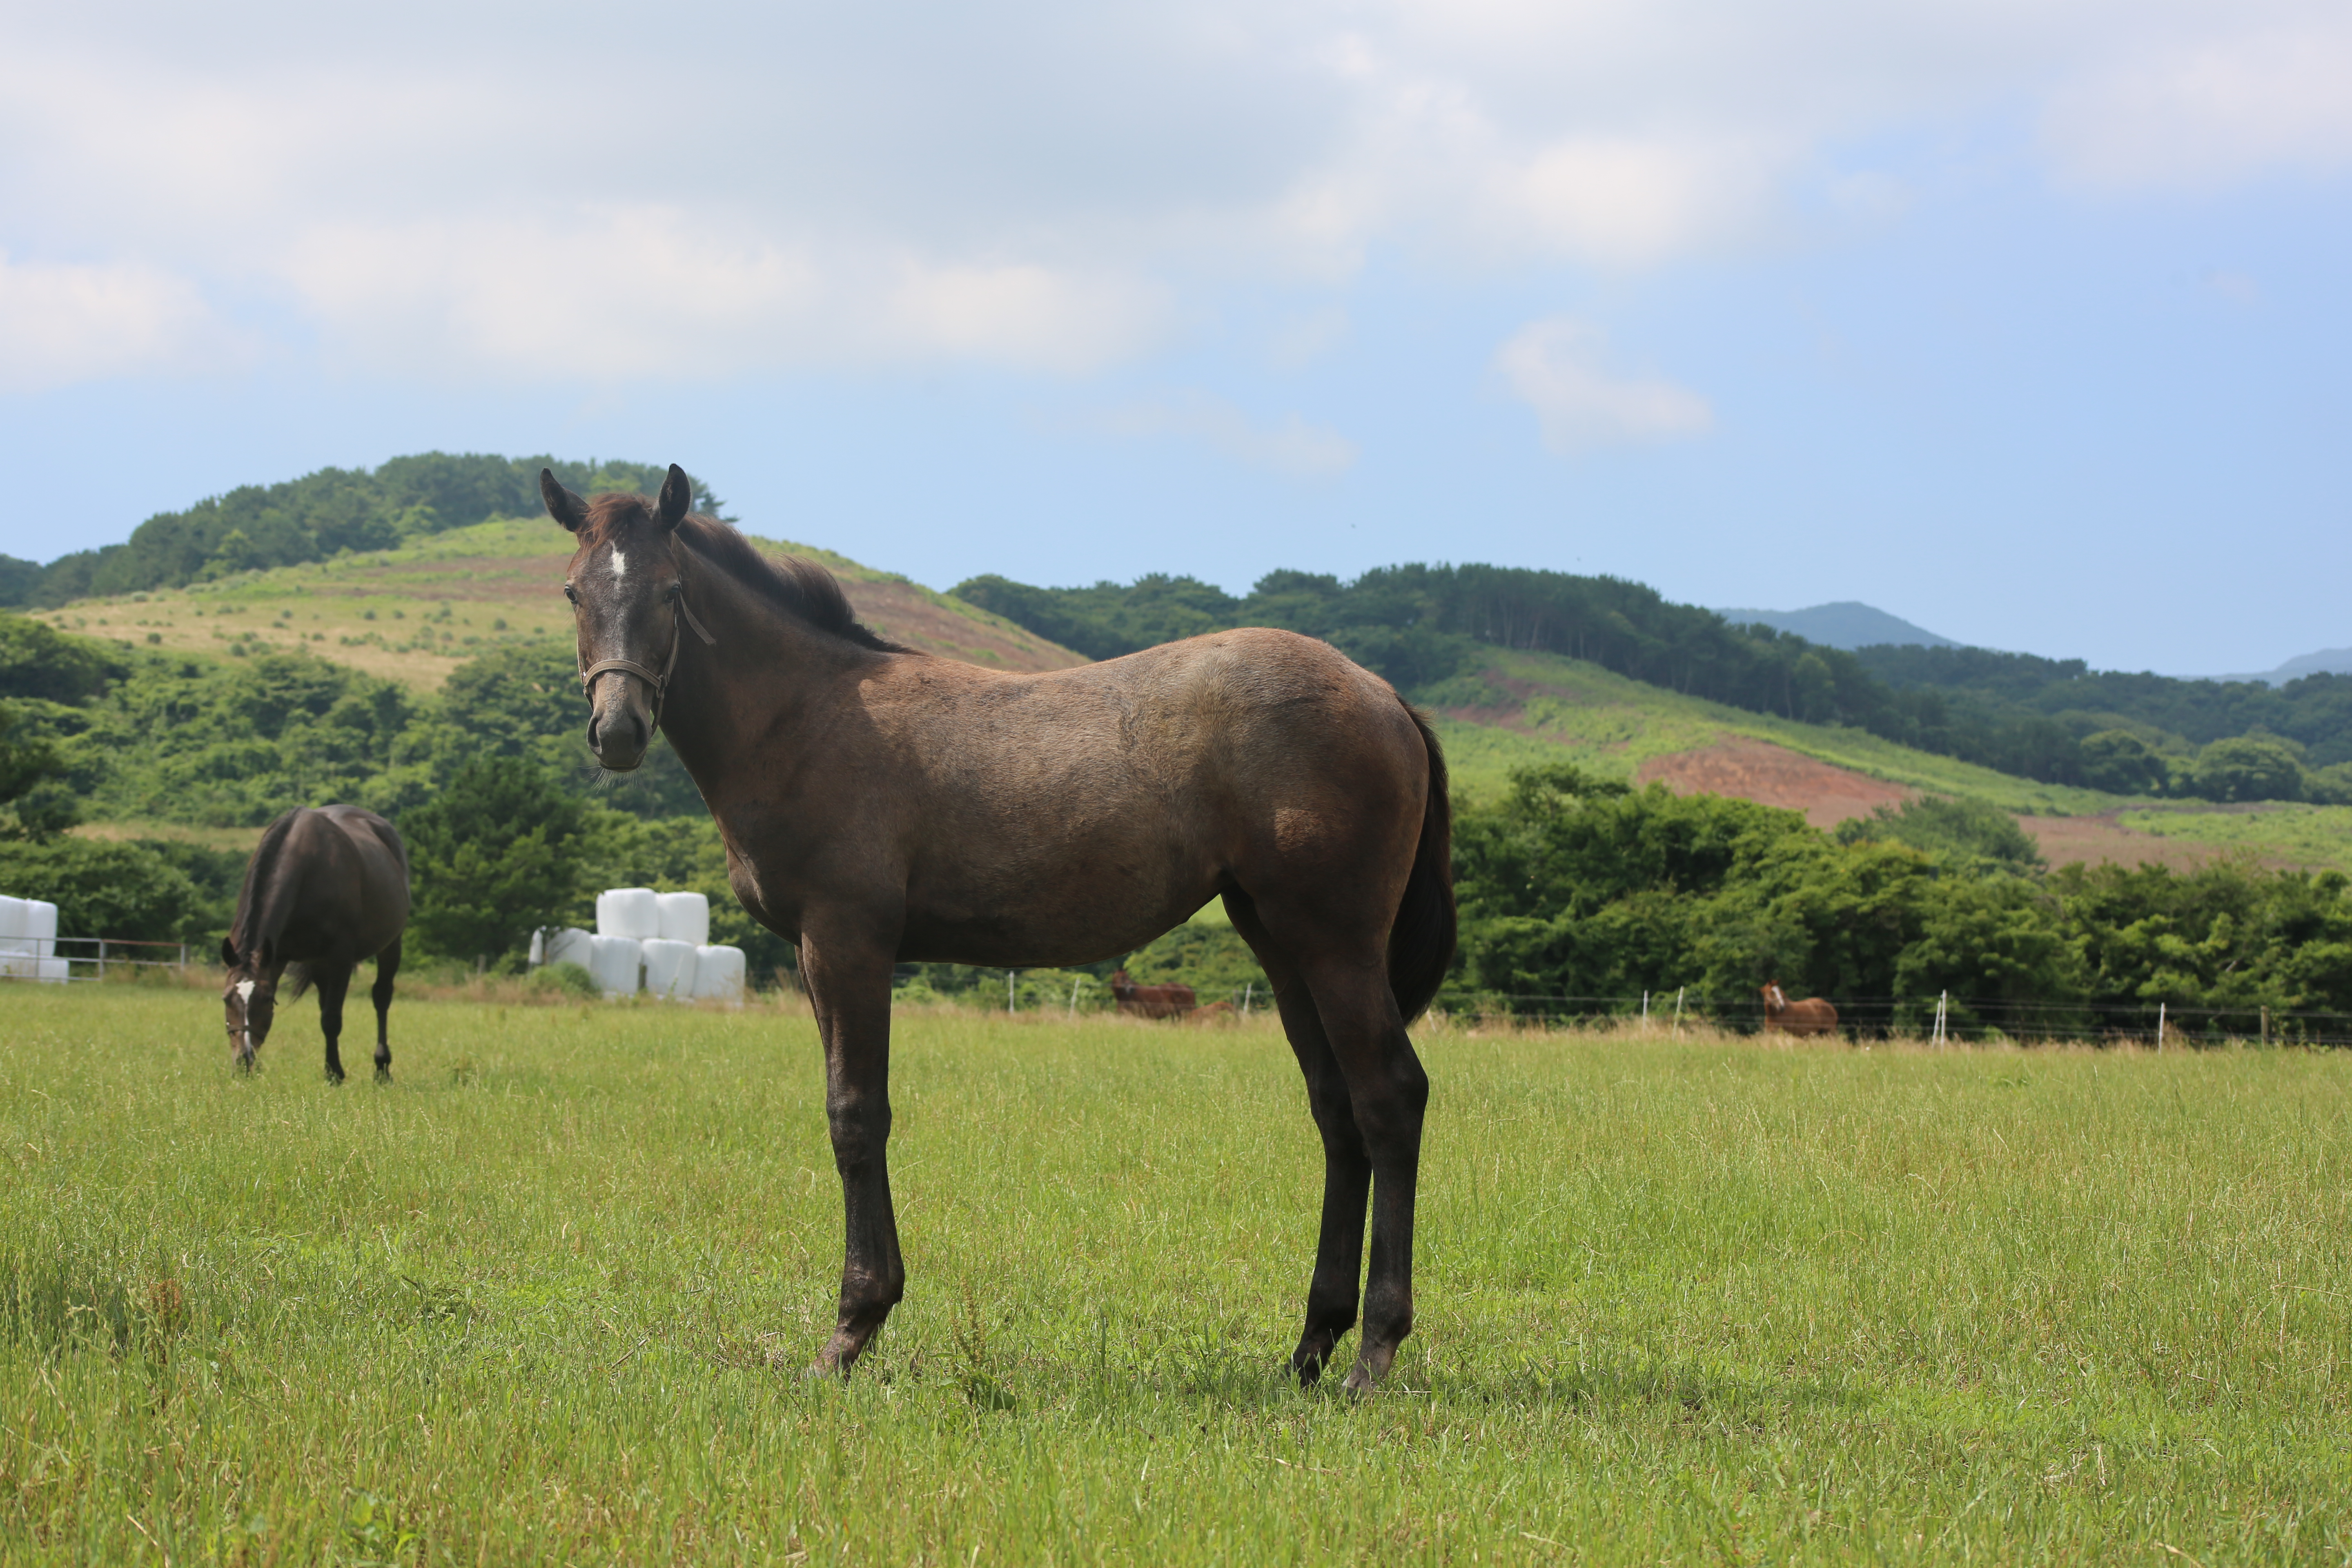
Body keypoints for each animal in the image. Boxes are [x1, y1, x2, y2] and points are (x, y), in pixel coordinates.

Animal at [222, 808, 412, 1081]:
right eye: (226, 999)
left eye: (267, 999)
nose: (244, 1061)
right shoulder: (277, 956)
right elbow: (325, 1014)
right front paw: (330, 1069)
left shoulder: (341, 958)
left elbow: (332, 1019)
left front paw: (335, 1073)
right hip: (318, 964)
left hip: (390, 945)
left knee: (381, 997)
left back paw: (382, 1068)